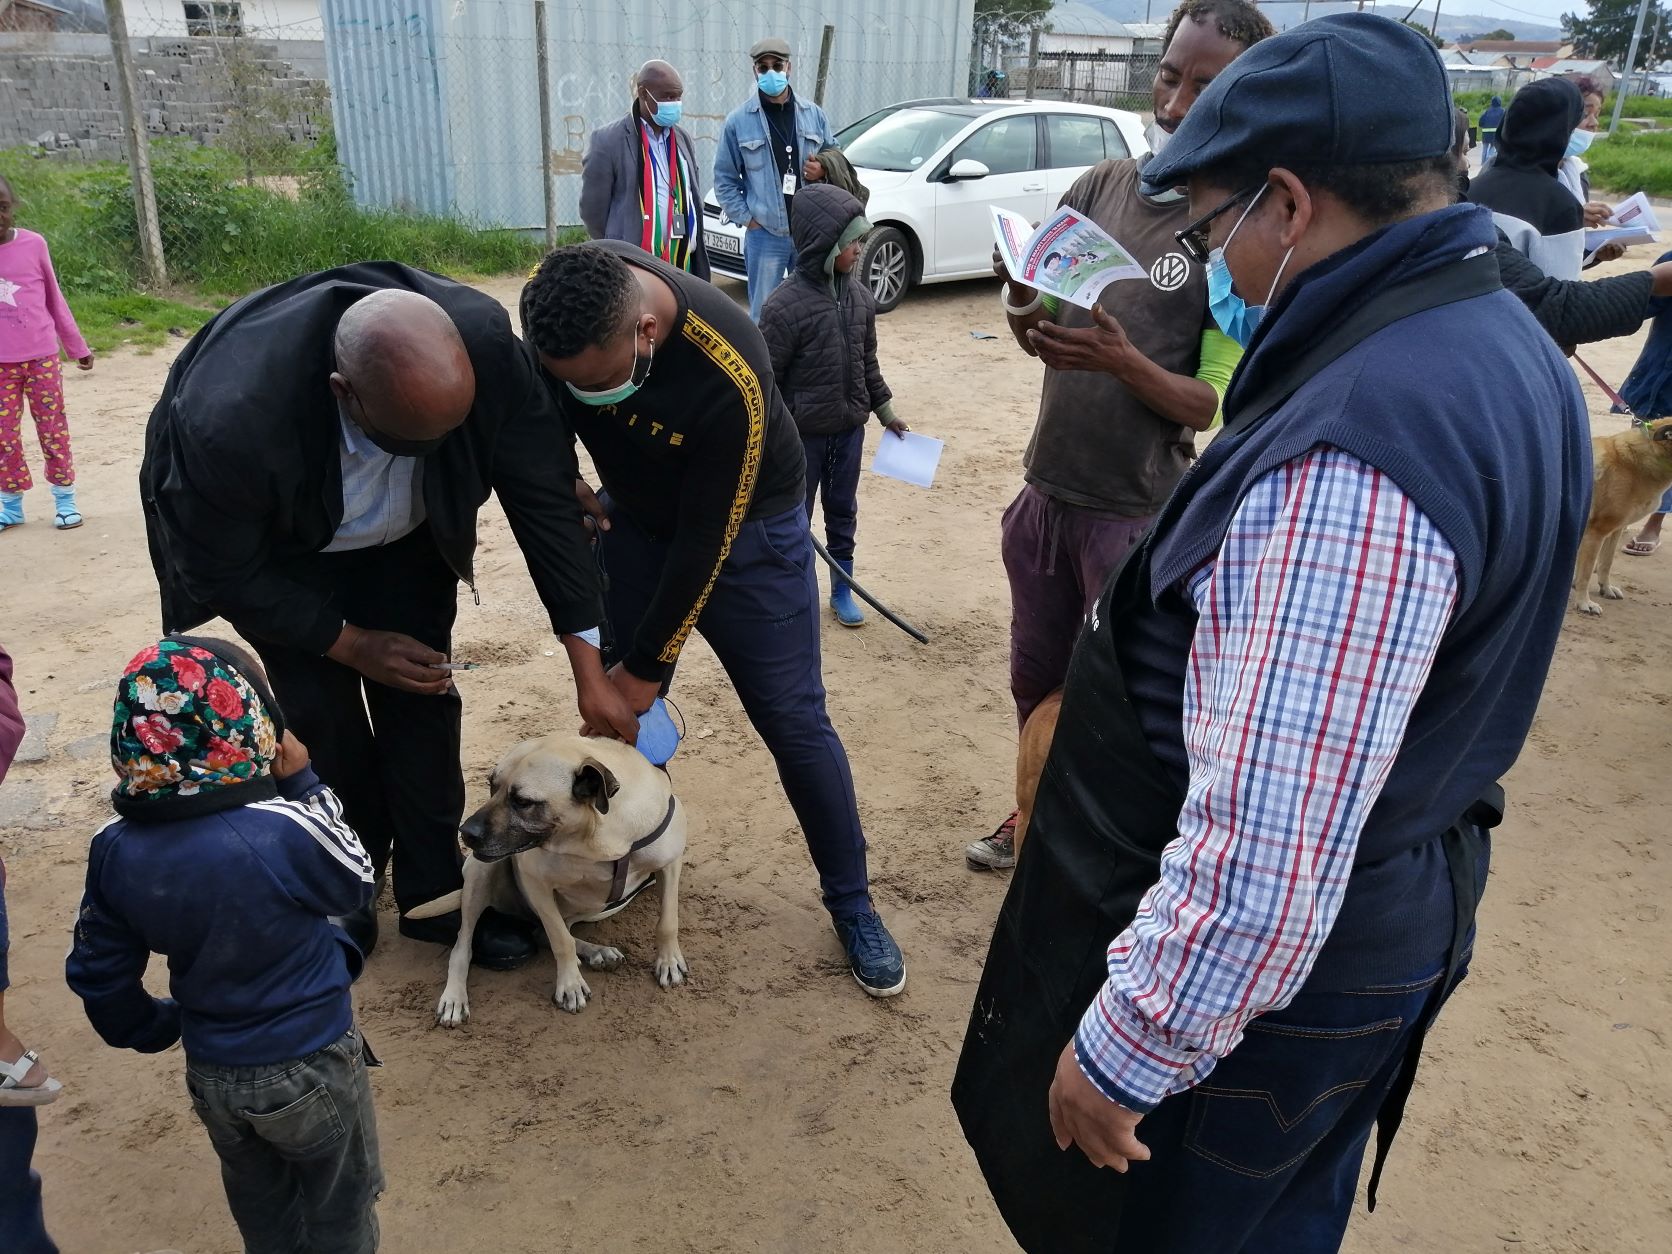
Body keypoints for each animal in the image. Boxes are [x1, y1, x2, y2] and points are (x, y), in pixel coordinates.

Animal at [407, 735, 688, 1023]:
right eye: (491, 785)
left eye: (523, 802)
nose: (465, 832)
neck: (596, 834)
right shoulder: (536, 885)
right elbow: (560, 939)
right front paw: (570, 984)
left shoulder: (671, 863)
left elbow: (667, 922)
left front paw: (668, 961)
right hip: (480, 875)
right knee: (463, 946)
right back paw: (454, 997)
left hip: (594, 907)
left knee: (544, 932)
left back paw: (597, 951)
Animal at [1571, 423, 1672, 618]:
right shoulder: (1595, 532)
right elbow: (1585, 573)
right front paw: (1583, 602)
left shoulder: (1614, 530)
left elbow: (1605, 563)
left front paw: (1606, 588)